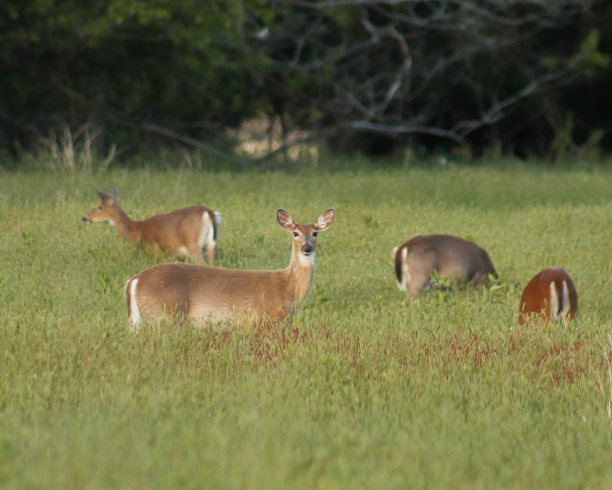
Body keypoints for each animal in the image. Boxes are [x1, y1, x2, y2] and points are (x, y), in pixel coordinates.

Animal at [82, 187, 222, 264]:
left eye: (99, 207)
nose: (84, 217)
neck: (137, 230)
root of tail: (208, 213)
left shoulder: (156, 249)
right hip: (211, 244)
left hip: (192, 242)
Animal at [124, 209, 334, 332]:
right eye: (295, 233)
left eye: (315, 233)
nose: (307, 247)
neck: (289, 288)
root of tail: (134, 281)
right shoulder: (264, 319)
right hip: (164, 314)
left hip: (140, 320)